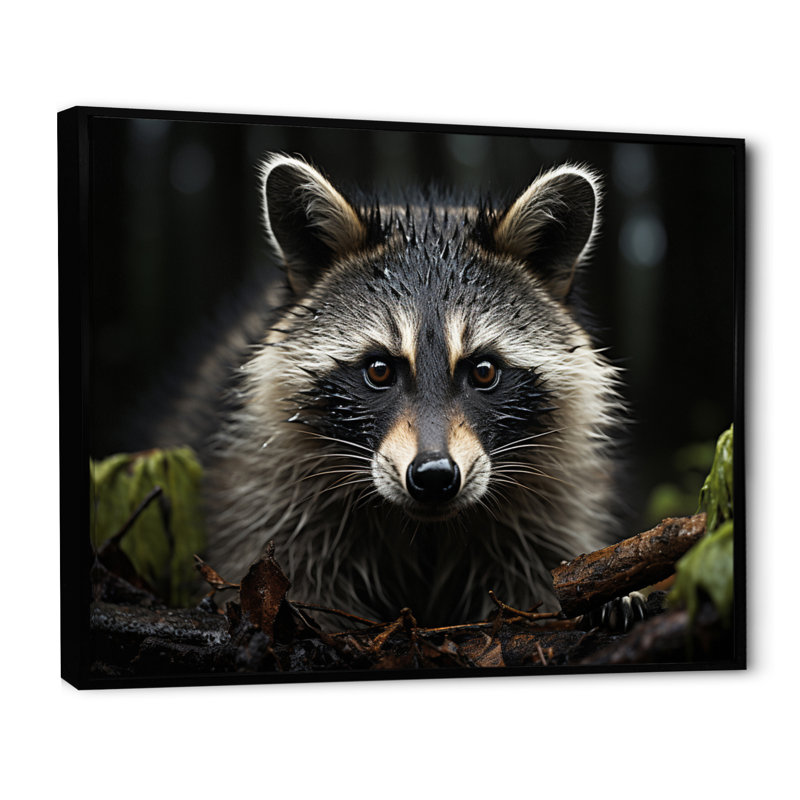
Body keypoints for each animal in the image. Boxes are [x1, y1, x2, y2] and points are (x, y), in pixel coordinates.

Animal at [168, 154, 624, 625]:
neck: (425, 527)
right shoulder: (267, 493)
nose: (434, 476)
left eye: (483, 372)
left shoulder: (550, 500)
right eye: (380, 371)